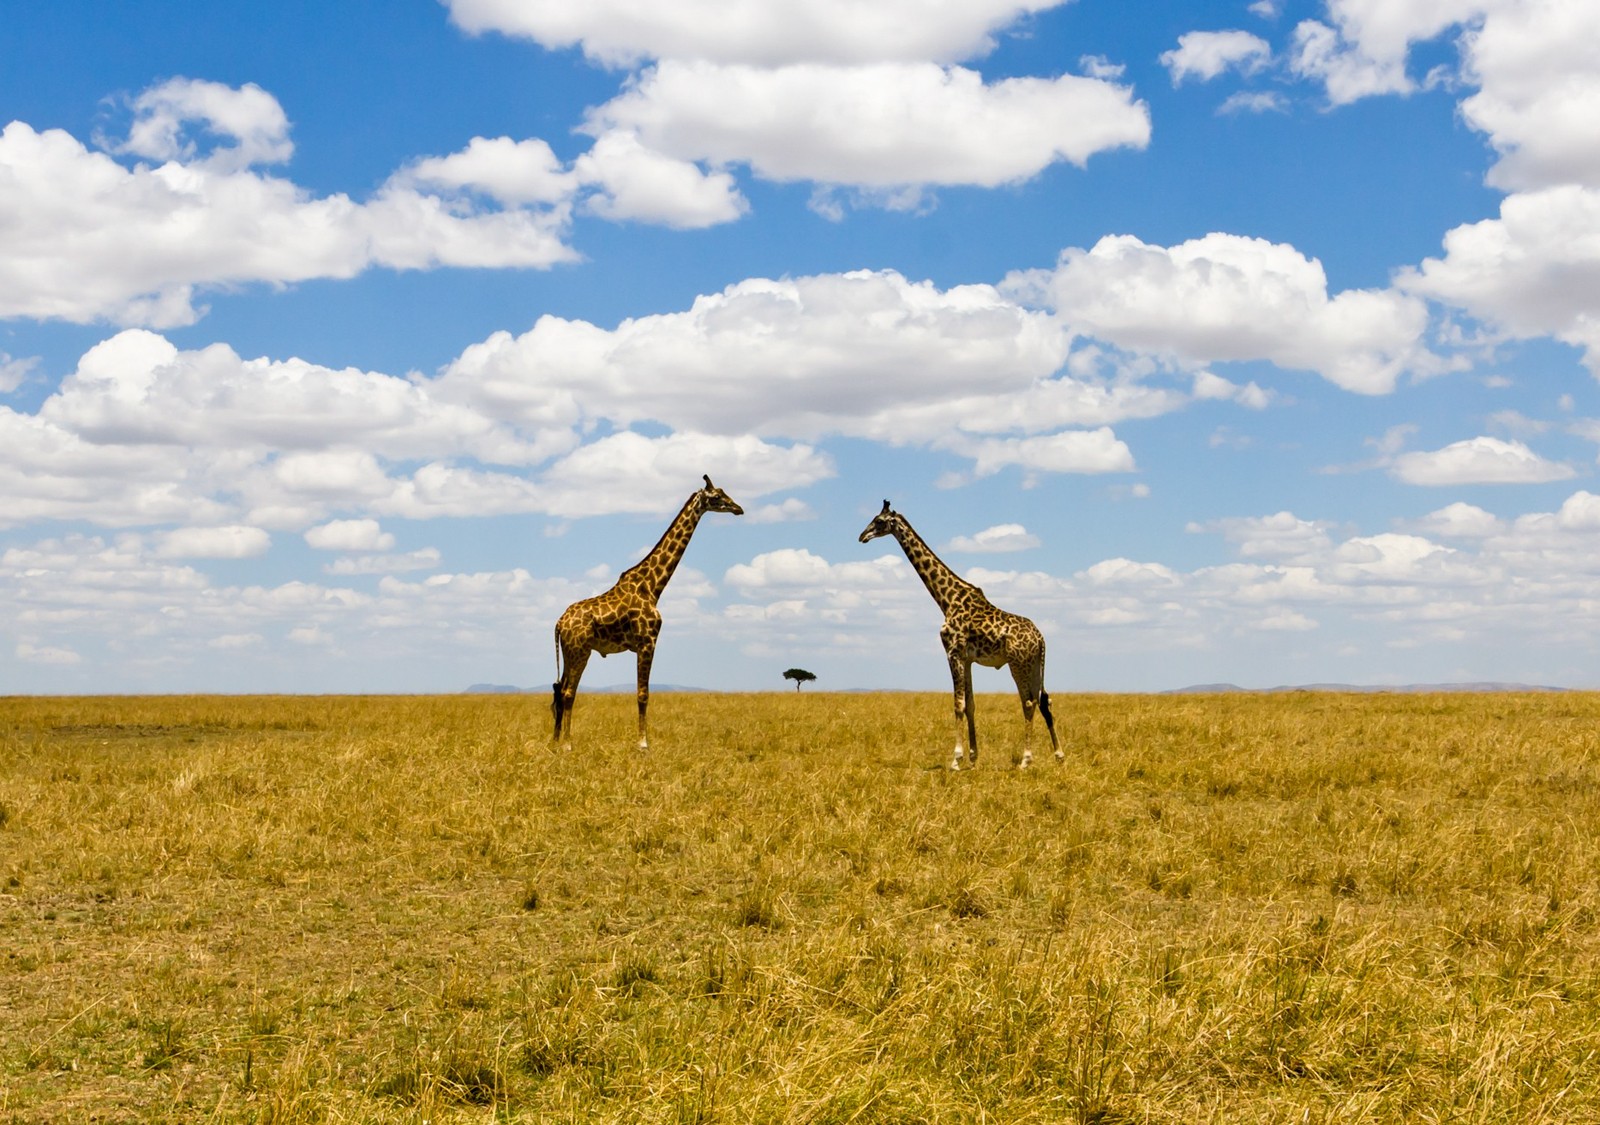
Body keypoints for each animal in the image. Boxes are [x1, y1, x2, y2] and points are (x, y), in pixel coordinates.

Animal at [552, 475, 743, 751]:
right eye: (717, 496)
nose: (738, 508)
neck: (653, 586)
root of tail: (559, 622)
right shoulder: (648, 642)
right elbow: (643, 694)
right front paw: (643, 743)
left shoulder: (644, 644)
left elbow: (642, 693)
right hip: (580, 651)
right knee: (569, 692)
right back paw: (567, 744)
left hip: (569, 652)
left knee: (559, 689)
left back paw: (555, 741)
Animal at [859, 500, 1061, 770]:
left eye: (879, 521)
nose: (862, 536)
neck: (946, 600)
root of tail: (1041, 640)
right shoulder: (967, 659)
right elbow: (971, 705)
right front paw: (973, 758)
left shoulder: (952, 653)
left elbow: (958, 704)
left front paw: (956, 759)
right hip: (1035, 664)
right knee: (1044, 701)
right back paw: (1059, 754)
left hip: (1018, 663)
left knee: (1028, 702)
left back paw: (1026, 760)